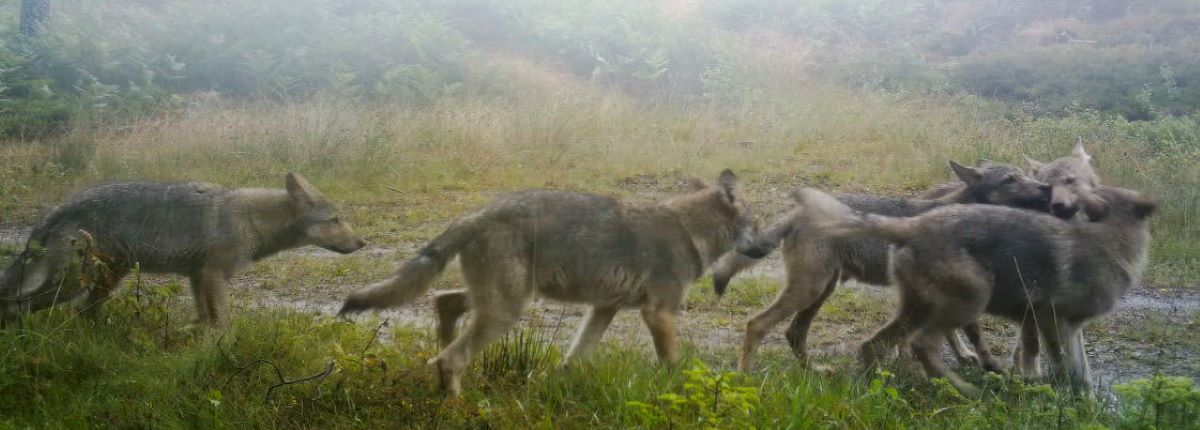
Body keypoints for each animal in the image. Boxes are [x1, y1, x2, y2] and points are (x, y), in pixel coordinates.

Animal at [0, 172, 364, 324]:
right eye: (335, 219)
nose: (363, 242)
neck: (250, 219)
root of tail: (62, 206)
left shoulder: (197, 276)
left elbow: (204, 317)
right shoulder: (215, 276)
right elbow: (223, 322)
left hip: (103, 282)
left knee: (80, 313)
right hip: (70, 286)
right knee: (17, 305)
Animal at [336, 169, 758, 393]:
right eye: (757, 225)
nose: (767, 244)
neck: (689, 229)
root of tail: (478, 213)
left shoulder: (603, 308)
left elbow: (577, 357)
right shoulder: (659, 314)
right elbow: (672, 364)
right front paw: (679, 392)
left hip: (500, 300)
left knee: (444, 305)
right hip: (507, 310)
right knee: (450, 358)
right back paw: (454, 403)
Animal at [710, 160, 1051, 369]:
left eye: (1024, 173)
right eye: (1010, 179)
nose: (1047, 188)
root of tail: (798, 211)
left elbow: (949, 332)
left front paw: (958, 355)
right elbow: (974, 333)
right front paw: (988, 364)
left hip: (821, 290)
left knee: (794, 334)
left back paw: (814, 371)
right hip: (810, 289)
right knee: (757, 325)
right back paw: (746, 377)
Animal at [796, 182, 1152, 393]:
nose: (1052, 196)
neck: (1109, 241)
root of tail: (912, 224)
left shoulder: (1065, 326)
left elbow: (1079, 370)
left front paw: (1078, 399)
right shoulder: (1052, 319)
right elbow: (1061, 365)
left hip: (918, 308)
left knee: (875, 344)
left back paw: (887, 383)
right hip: (970, 300)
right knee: (921, 343)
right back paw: (960, 389)